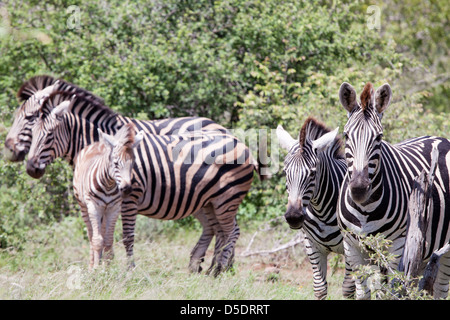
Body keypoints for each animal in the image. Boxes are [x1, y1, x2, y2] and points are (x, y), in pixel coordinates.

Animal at [72, 124, 142, 268]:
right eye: (115, 163)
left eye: (132, 163)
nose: (127, 189)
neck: (109, 185)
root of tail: (96, 143)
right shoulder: (93, 206)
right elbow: (97, 240)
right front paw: (96, 269)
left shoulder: (114, 208)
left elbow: (108, 240)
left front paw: (107, 268)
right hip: (84, 206)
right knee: (91, 235)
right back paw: (91, 265)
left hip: (105, 209)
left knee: (103, 234)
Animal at [278, 117, 356, 300]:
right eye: (285, 172)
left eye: (312, 173)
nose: (293, 217)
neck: (322, 213)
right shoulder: (311, 246)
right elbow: (320, 288)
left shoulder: (350, 246)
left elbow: (348, 288)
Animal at [338, 81, 450, 298]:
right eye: (346, 135)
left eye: (379, 137)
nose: (358, 189)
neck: (364, 210)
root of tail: (440, 139)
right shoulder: (352, 247)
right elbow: (364, 292)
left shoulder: (397, 247)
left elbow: (391, 291)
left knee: (441, 288)